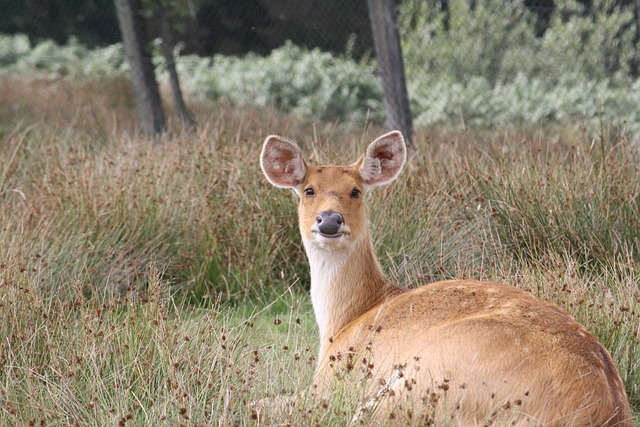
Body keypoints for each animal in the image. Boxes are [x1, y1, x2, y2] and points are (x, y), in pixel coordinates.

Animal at [258, 131, 632, 427]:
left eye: (355, 191)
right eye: (308, 190)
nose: (330, 220)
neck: (346, 320)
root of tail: (604, 413)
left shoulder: (330, 381)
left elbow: (266, 402)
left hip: (427, 377)